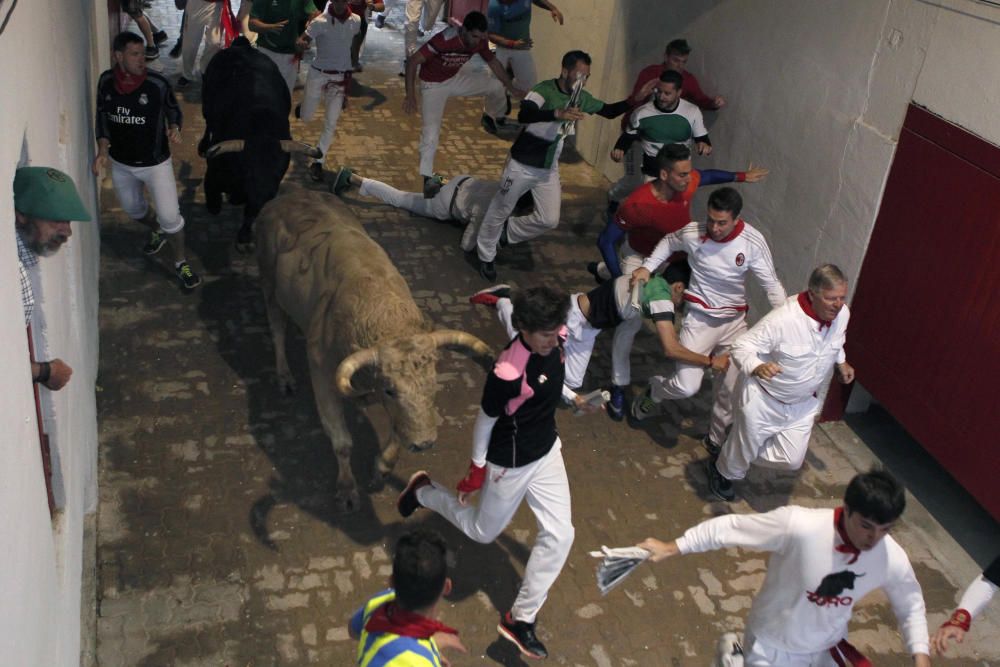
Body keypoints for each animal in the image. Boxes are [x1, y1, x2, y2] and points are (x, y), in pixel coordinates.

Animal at [197, 36, 318, 252]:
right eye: (249, 169)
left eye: (280, 170)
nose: (266, 193)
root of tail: (242, 45)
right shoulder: (214, 174)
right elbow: (213, 199)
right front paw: (217, 204)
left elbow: (250, 214)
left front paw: (244, 238)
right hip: (206, 102)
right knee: (208, 121)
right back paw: (203, 146)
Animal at [258, 188, 492, 512]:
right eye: (390, 390)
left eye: (433, 384)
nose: (424, 443)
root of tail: (289, 195)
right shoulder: (321, 371)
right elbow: (342, 441)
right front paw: (346, 488)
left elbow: (396, 433)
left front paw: (381, 468)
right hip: (269, 285)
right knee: (277, 329)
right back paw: (285, 377)